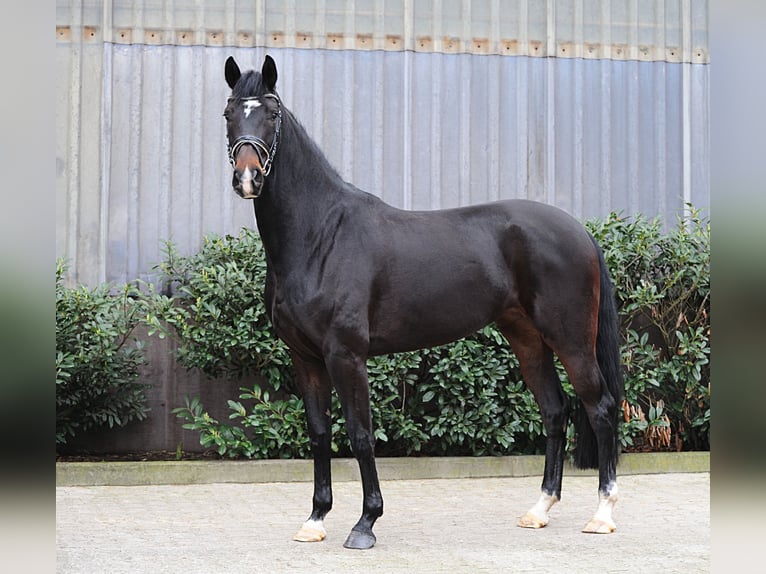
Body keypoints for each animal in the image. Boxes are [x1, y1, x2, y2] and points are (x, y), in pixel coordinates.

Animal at [222, 56, 624, 552]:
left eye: (272, 114)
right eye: (229, 114)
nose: (248, 177)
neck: (321, 235)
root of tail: (580, 230)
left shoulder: (346, 354)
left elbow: (360, 434)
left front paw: (365, 523)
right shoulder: (306, 357)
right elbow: (319, 434)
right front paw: (315, 519)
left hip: (570, 339)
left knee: (600, 407)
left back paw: (602, 514)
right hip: (527, 339)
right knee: (555, 410)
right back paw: (539, 509)